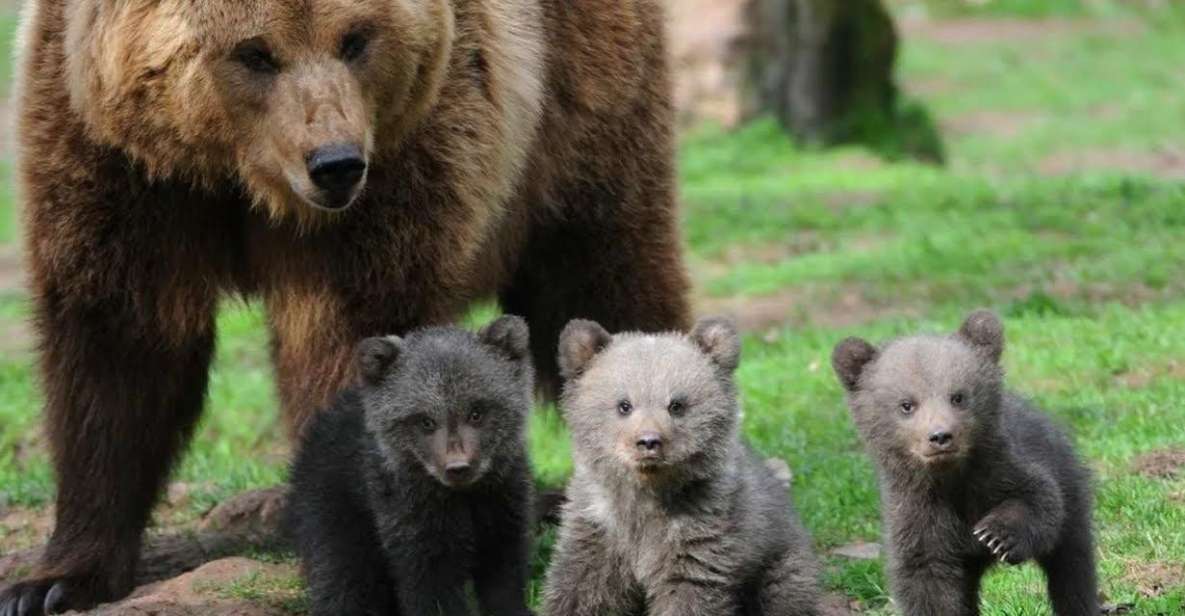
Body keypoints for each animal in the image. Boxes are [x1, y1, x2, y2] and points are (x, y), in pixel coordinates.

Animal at [0, 0, 692, 611]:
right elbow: (118, 351)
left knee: (603, 276)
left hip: (575, 110)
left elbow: (348, 339)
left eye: (355, 39)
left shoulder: (397, 169)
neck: (235, 174)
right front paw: (53, 581)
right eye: (256, 52)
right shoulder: (117, 164)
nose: (335, 163)